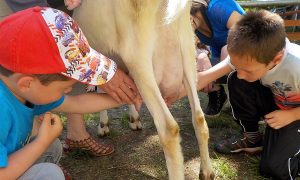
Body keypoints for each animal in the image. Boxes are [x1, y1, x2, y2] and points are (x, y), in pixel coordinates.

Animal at [72, 0, 214, 179]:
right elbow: (128, 91)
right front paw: (134, 119)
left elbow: (104, 89)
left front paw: (103, 125)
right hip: (187, 54)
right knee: (199, 118)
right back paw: (207, 172)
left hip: (139, 59)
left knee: (169, 129)